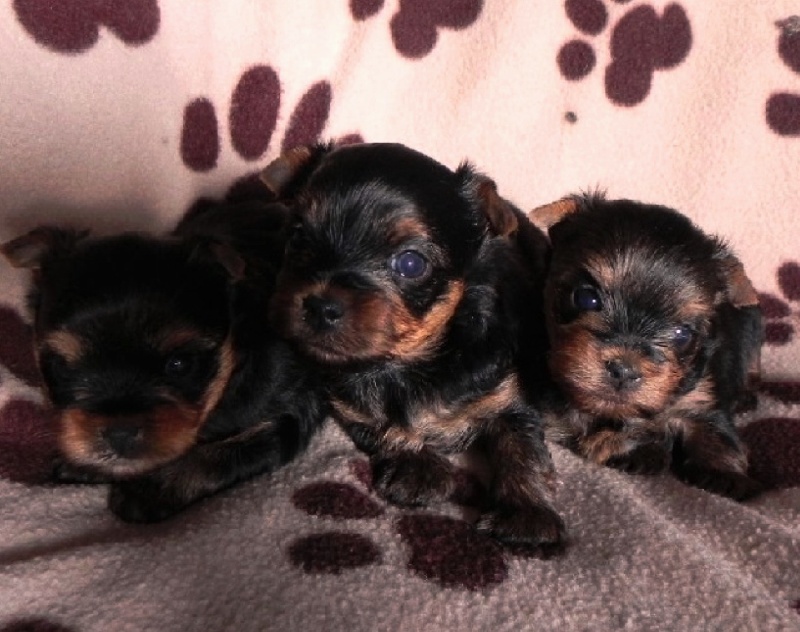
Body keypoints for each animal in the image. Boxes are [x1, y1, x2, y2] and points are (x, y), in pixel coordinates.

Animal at [1, 200, 324, 520]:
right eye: (62, 368)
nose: (120, 432)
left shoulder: (287, 406)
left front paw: (147, 492)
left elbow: (224, 453)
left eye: (180, 365)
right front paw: (88, 464)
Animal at [260, 142, 564, 548]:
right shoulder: (348, 397)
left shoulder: (506, 397)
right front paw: (417, 466)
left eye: (410, 264)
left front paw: (526, 513)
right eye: (297, 237)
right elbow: (381, 420)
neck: (409, 363)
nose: (321, 306)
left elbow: (523, 446)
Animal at [532, 193, 764, 498]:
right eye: (586, 298)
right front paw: (634, 447)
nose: (625, 370)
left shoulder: (700, 394)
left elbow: (715, 429)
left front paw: (724, 473)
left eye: (682, 334)